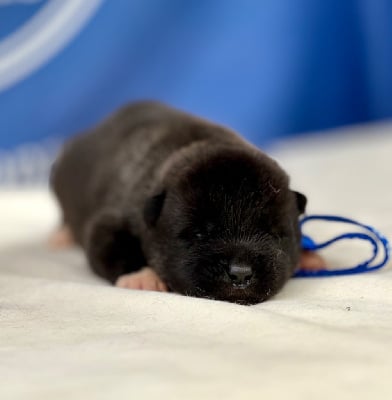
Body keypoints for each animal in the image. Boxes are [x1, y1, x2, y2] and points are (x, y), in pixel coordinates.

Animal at [51, 101, 316, 304]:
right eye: (199, 234)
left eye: (273, 235)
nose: (241, 274)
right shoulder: (113, 219)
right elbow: (110, 245)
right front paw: (143, 276)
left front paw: (309, 256)